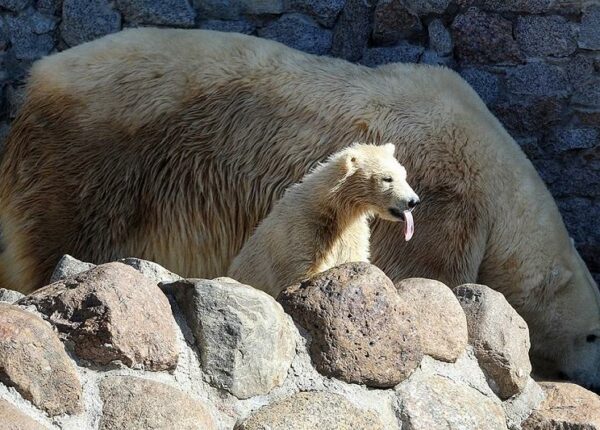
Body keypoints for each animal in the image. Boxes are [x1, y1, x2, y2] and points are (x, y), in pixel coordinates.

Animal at [227, 143, 420, 298]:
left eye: (403, 175)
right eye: (387, 178)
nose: (413, 201)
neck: (331, 209)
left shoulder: (351, 233)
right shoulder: (302, 230)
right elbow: (302, 272)